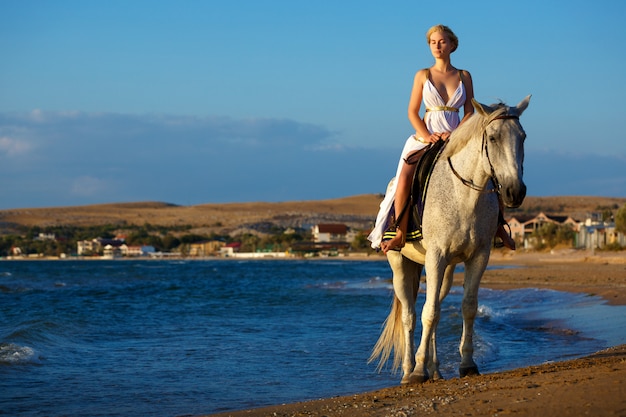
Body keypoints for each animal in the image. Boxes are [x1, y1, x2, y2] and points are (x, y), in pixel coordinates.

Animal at [368, 96, 528, 382]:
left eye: (523, 137)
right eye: (493, 137)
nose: (515, 192)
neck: (464, 196)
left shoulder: (479, 256)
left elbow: (467, 307)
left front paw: (467, 364)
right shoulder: (436, 255)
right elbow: (427, 313)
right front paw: (418, 370)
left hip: (445, 270)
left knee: (437, 309)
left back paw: (436, 370)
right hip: (400, 264)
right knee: (410, 314)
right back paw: (409, 370)